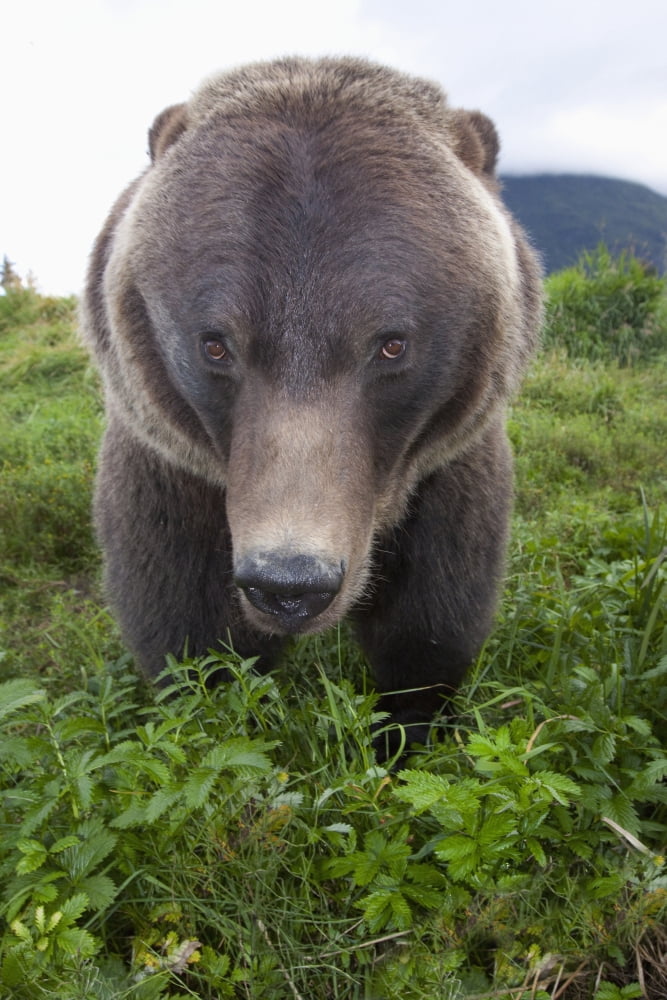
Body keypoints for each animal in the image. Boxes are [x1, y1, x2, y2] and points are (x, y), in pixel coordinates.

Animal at [81, 56, 542, 756]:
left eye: (391, 343)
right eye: (216, 343)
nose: (289, 583)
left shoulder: (446, 468)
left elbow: (433, 616)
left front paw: (407, 731)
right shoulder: (169, 465)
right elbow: (186, 623)